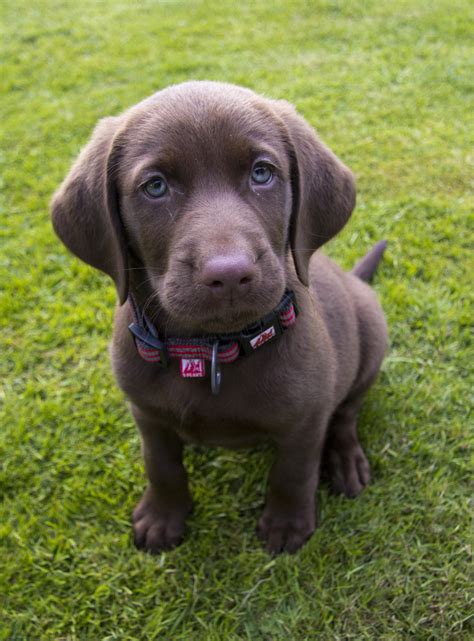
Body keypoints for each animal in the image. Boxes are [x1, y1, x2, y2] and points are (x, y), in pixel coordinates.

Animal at [51, 82, 386, 552]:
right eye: (155, 186)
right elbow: (161, 464)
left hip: (371, 336)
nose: (229, 274)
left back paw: (346, 460)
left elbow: (293, 471)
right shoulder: (145, 413)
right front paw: (162, 517)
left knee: (347, 413)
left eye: (262, 174)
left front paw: (287, 525)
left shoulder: (306, 417)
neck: (210, 349)